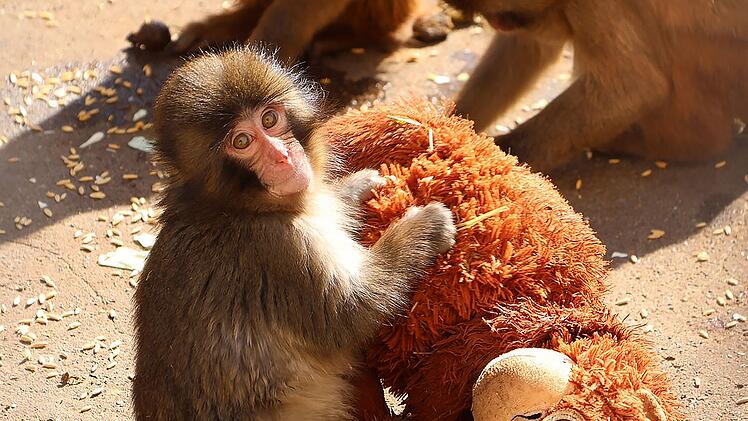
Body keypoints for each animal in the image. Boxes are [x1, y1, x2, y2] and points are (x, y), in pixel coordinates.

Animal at [131, 46, 457, 420]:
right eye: (242, 141)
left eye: (269, 120)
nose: (283, 156)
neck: (235, 207)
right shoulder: (278, 249)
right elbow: (352, 312)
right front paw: (425, 226)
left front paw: (355, 188)